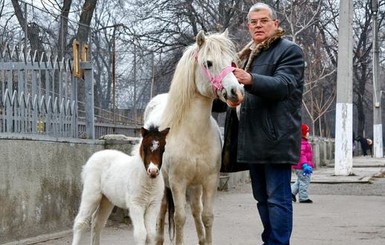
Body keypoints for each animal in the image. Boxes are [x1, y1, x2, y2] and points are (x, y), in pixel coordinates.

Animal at [144, 30, 243, 245]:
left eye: (232, 62)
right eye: (208, 63)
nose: (236, 92)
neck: (193, 134)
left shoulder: (209, 181)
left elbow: (207, 216)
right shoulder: (177, 183)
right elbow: (179, 218)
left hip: (195, 186)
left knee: (196, 211)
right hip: (163, 183)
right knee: (162, 211)